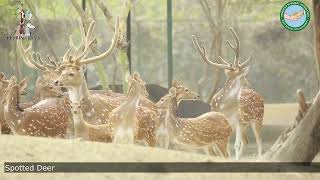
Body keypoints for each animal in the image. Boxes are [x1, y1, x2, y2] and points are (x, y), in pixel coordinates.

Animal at [192, 26, 264, 159]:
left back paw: (259, 158)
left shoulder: (239, 120)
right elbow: (226, 147)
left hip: (257, 118)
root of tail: (260, 96)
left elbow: (236, 145)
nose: (249, 84)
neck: (226, 108)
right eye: (244, 76)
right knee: (246, 141)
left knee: (258, 141)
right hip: (245, 125)